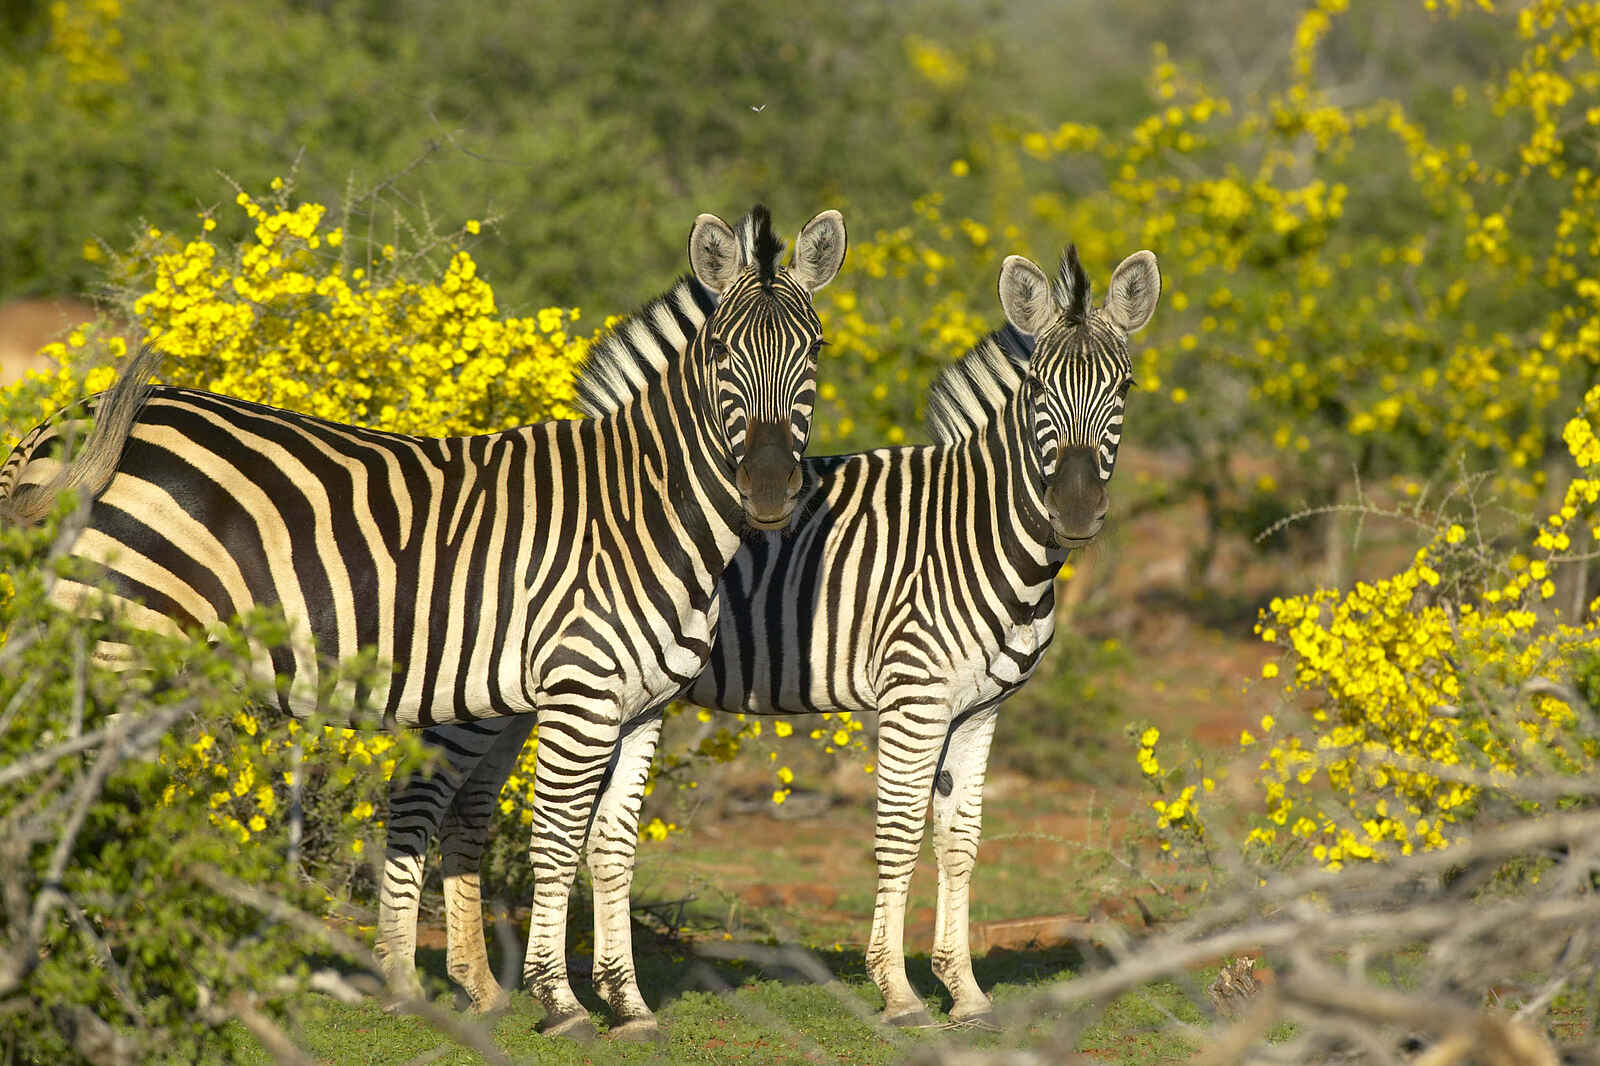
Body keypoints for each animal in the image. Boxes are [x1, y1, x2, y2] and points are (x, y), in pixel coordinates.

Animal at [0, 204, 848, 1040]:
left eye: (813, 350)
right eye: (722, 352)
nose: (768, 489)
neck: (644, 509)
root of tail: (56, 424)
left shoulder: (645, 707)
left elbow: (611, 847)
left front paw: (628, 1003)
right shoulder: (579, 693)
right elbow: (556, 839)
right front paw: (560, 1000)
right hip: (113, 645)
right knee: (64, 797)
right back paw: (87, 975)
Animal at [376, 244, 1161, 1028]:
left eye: (1124, 386)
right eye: (1037, 389)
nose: (1076, 510)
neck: (975, 534)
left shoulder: (979, 709)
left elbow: (959, 842)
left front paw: (964, 991)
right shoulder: (914, 697)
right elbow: (900, 834)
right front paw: (898, 990)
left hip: (516, 692)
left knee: (469, 813)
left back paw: (479, 986)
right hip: (472, 684)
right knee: (419, 799)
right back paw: (404, 982)